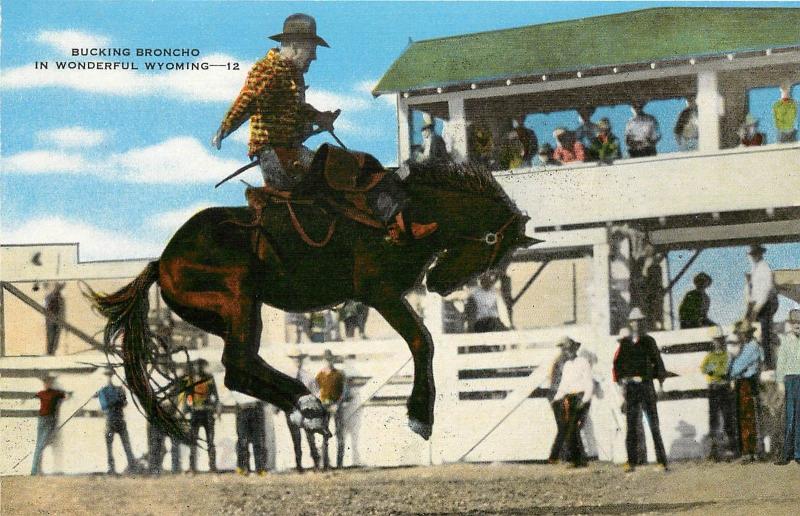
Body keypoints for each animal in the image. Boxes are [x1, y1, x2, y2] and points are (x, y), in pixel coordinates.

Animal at [89, 157, 536, 440]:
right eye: (490, 244)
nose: (442, 285)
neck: (409, 214)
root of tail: (162, 262)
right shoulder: (380, 293)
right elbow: (421, 341)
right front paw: (420, 416)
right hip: (240, 299)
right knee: (236, 365)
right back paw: (309, 406)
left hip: (236, 312)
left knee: (242, 366)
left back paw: (307, 408)